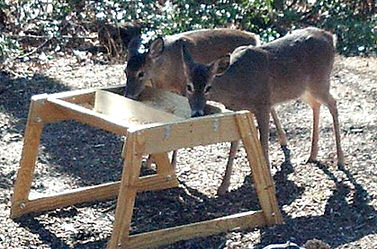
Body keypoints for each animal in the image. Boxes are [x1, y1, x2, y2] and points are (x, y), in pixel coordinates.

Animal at [125, 27, 290, 195]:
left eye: (141, 73)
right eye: (125, 71)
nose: (129, 95)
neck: (164, 70)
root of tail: (254, 36)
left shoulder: (184, 88)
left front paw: (171, 165)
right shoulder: (161, 87)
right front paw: (150, 161)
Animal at [181, 27, 344, 175]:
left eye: (208, 87)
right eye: (189, 86)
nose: (196, 113)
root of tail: (330, 37)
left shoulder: (263, 104)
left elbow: (263, 144)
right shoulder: (238, 111)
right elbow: (234, 146)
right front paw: (224, 186)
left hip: (320, 81)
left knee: (333, 103)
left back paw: (340, 161)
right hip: (304, 89)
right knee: (316, 104)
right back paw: (312, 155)